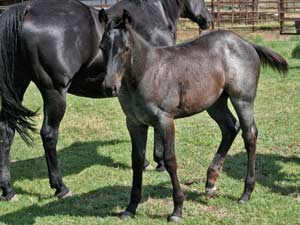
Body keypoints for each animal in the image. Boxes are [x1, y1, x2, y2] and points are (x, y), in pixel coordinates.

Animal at [0, 0, 212, 200]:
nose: (208, 20)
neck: (151, 15)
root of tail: (27, 9)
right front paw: (158, 161)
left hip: (17, 87)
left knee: (6, 132)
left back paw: (8, 190)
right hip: (55, 92)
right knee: (49, 134)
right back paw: (60, 187)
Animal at [99, 10, 288, 221]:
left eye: (126, 48)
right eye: (101, 47)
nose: (109, 87)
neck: (146, 73)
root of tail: (247, 43)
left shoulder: (165, 121)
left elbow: (170, 160)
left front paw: (177, 209)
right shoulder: (134, 123)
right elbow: (137, 160)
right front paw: (130, 208)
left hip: (242, 100)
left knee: (250, 135)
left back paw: (246, 193)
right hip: (215, 103)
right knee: (230, 128)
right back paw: (210, 183)